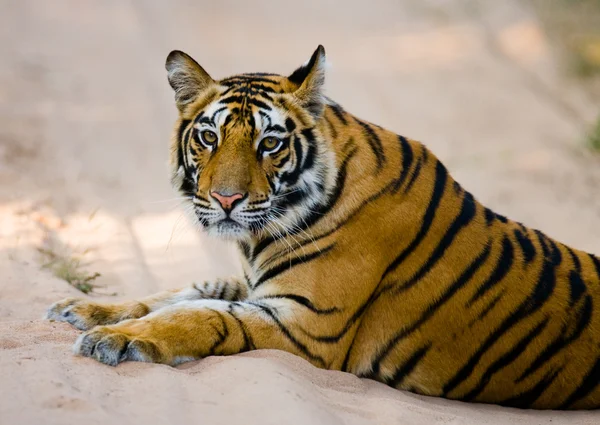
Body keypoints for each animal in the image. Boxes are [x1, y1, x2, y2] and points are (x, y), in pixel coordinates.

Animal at [47, 45, 600, 408]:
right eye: (208, 137)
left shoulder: (306, 324)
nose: (226, 199)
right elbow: (181, 292)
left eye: (269, 144)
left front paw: (115, 338)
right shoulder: (255, 287)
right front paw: (86, 309)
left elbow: (200, 314)